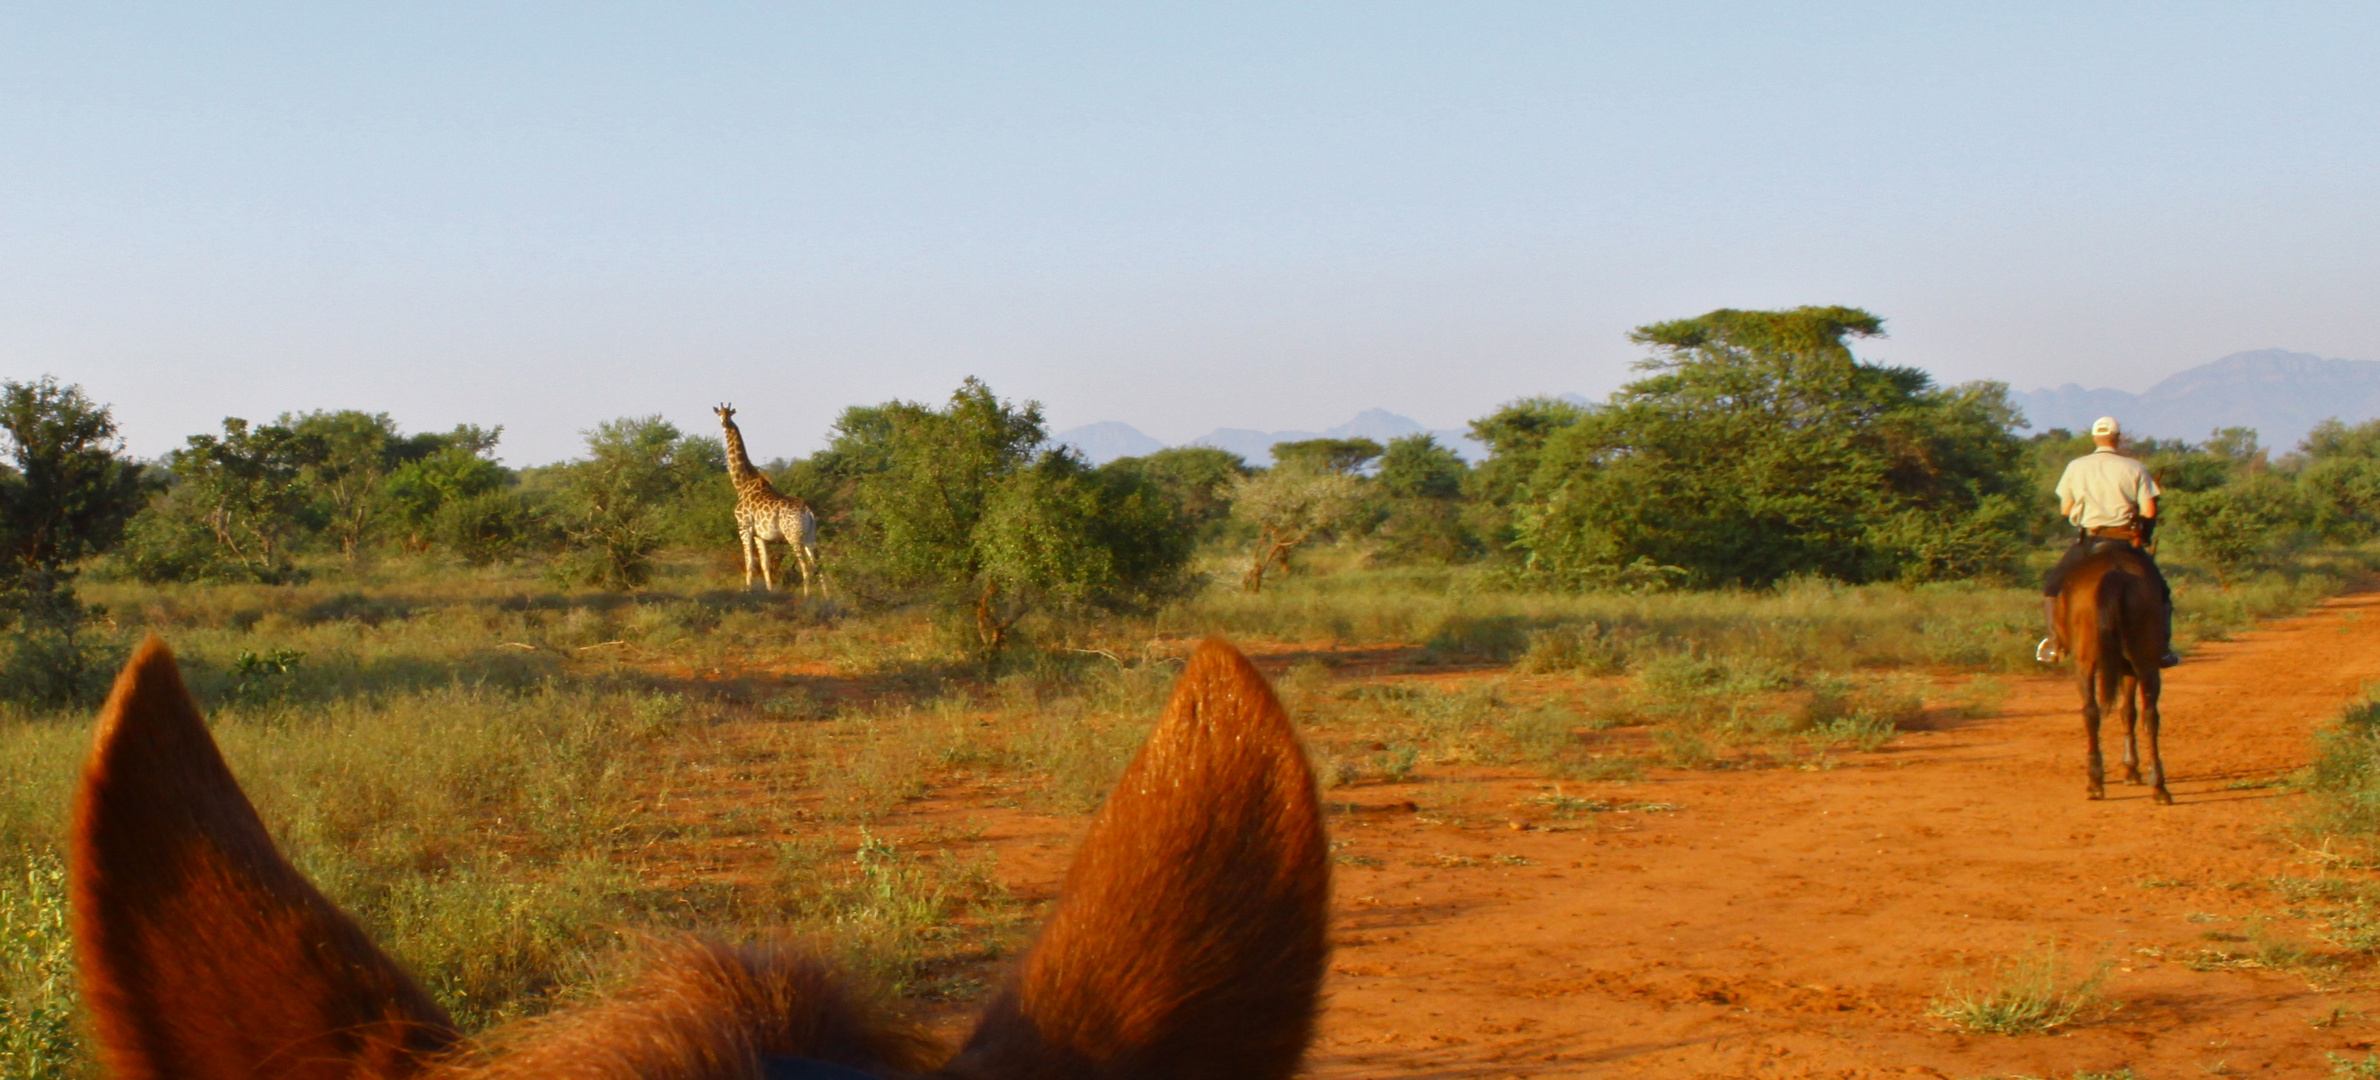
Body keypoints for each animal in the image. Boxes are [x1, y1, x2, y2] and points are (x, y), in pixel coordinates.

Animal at [704, 404, 818, 594]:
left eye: (729, 414)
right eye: (719, 413)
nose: (725, 423)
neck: (742, 484)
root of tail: (808, 512)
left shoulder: (744, 527)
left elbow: (749, 562)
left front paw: (748, 590)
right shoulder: (760, 535)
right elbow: (765, 563)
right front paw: (770, 591)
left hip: (793, 535)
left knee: (805, 565)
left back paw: (807, 595)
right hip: (811, 535)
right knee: (818, 563)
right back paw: (826, 594)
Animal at [2065, 544, 2180, 804]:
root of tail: (2115, 575)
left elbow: (2126, 712)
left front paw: (2130, 769)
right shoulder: (2130, 669)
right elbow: (2129, 711)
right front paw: (2132, 769)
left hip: (2085, 662)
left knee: (2090, 711)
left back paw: (2095, 783)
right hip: (2145, 662)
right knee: (2150, 715)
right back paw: (2159, 786)